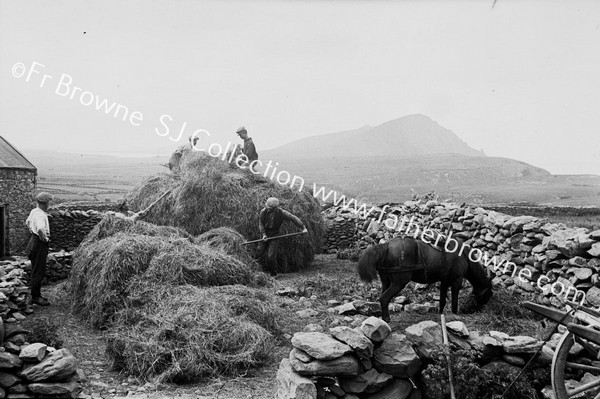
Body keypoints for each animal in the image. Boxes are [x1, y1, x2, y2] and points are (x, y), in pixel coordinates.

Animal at [356, 238, 492, 322]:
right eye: (488, 294)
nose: (480, 309)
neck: (463, 255)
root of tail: (387, 246)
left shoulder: (444, 281)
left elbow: (442, 301)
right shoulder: (456, 281)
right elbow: (454, 301)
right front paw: (455, 315)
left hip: (386, 281)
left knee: (383, 297)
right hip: (399, 283)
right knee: (384, 298)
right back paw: (387, 319)